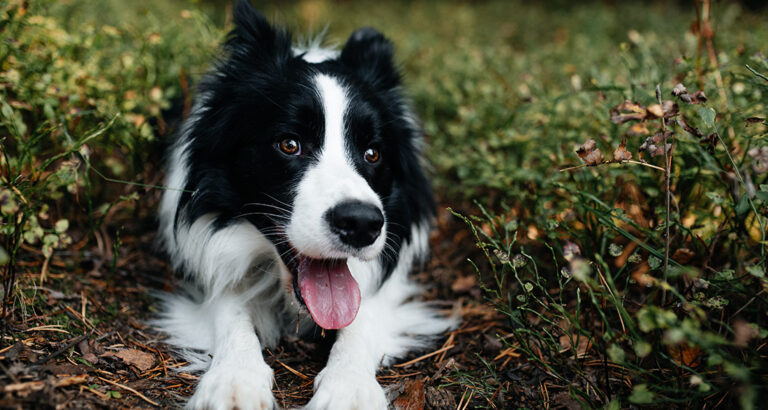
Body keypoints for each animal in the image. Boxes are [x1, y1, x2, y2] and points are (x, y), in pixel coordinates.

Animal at [156, 1, 456, 408]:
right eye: (290, 144)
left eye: (373, 153)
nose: (361, 224)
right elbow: (230, 307)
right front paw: (234, 379)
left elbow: (361, 317)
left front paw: (349, 387)